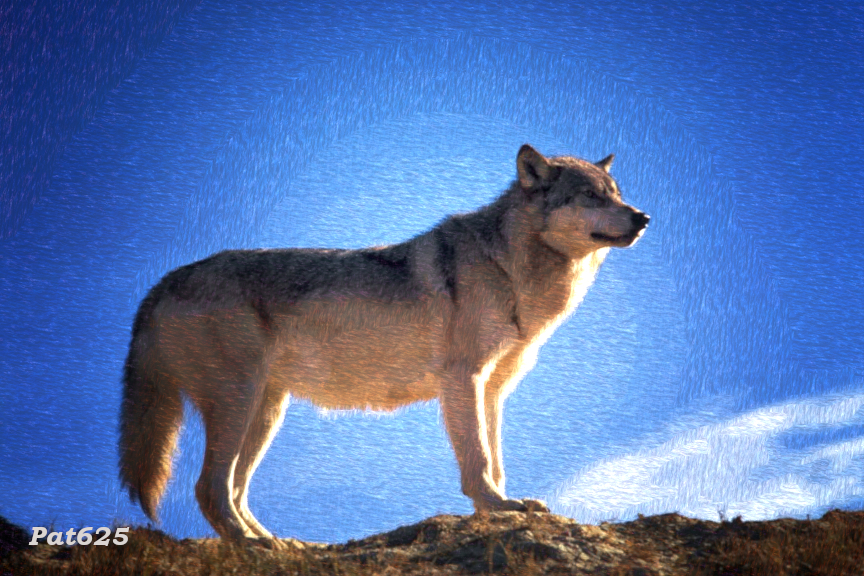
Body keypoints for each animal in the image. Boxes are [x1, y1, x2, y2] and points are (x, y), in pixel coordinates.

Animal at [118, 144, 649, 547]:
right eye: (590, 197)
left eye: (616, 194)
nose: (643, 217)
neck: (511, 270)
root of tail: (163, 282)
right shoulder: (463, 380)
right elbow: (477, 458)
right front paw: (495, 506)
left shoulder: (493, 390)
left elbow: (496, 457)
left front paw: (503, 506)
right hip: (239, 404)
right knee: (209, 488)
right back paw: (251, 546)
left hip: (266, 413)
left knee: (234, 490)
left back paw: (279, 544)